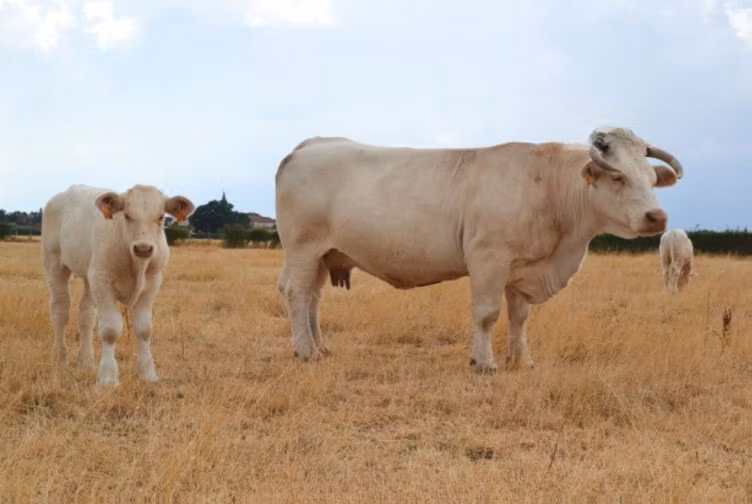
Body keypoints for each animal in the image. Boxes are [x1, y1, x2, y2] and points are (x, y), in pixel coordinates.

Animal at [41, 184, 195, 385]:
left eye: (161, 216)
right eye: (127, 215)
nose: (143, 248)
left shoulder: (152, 282)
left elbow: (144, 329)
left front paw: (148, 374)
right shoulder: (103, 281)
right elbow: (110, 330)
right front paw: (108, 377)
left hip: (90, 275)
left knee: (86, 316)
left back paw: (86, 361)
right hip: (54, 264)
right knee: (60, 311)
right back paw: (60, 358)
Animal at [275, 127, 685, 373]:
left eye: (652, 179)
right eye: (618, 177)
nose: (657, 217)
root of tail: (309, 145)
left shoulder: (522, 268)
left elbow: (520, 318)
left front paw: (521, 359)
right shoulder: (489, 259)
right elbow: (487, 314)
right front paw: (484, 362)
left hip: (323, 255)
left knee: (312, 298)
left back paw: (320, 347)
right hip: (303, 248)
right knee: (297, 293)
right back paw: (306, 351)